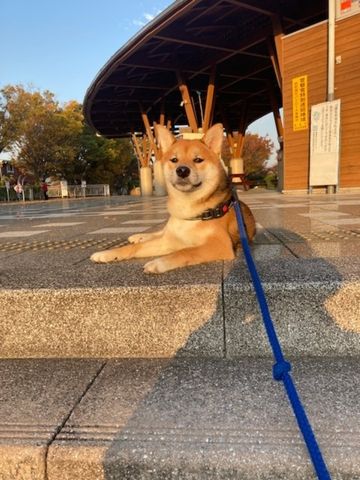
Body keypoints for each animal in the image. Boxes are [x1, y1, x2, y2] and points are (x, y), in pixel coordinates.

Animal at [90, 123, 256, 274]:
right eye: (174, 160)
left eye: (198, 160)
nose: (182, 170)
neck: (187, 208)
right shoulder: (169, 240)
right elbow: (136, 248)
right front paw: (107, 253)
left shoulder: (220, 244)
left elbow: (186, 251)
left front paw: (158, 262)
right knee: (159, 232)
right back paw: (139, 236)